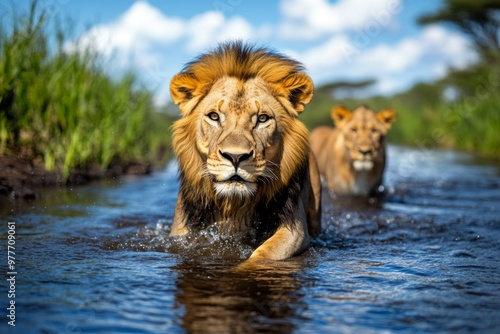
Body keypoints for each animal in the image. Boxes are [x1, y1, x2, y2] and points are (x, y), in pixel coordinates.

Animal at [170, 41, 322, 264]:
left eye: (262, 118)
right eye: (214, 116)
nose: (235, 157)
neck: (234, 205)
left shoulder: (296, 231)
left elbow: (263, 254)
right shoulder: (181, 232)